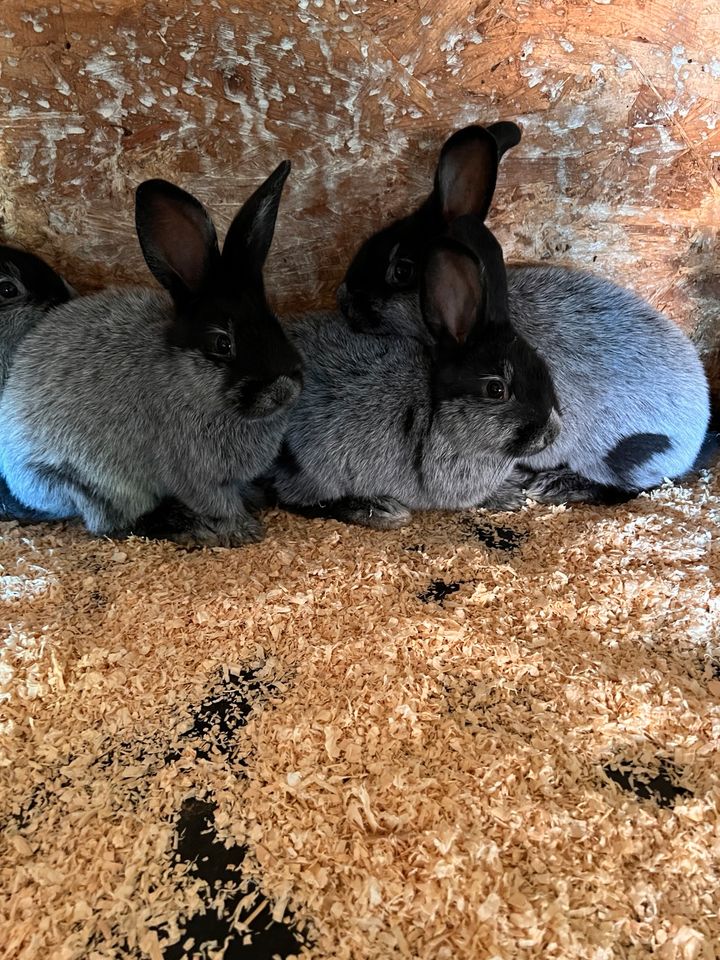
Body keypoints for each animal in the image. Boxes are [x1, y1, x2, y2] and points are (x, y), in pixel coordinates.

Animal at [0, 160, 302, 544]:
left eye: (275, 324)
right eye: (222, 343)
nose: (284, 390)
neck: (190, 382)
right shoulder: (195, 476)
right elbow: (218, 504)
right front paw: (242, 532)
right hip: (90, 487)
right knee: (109, 525)